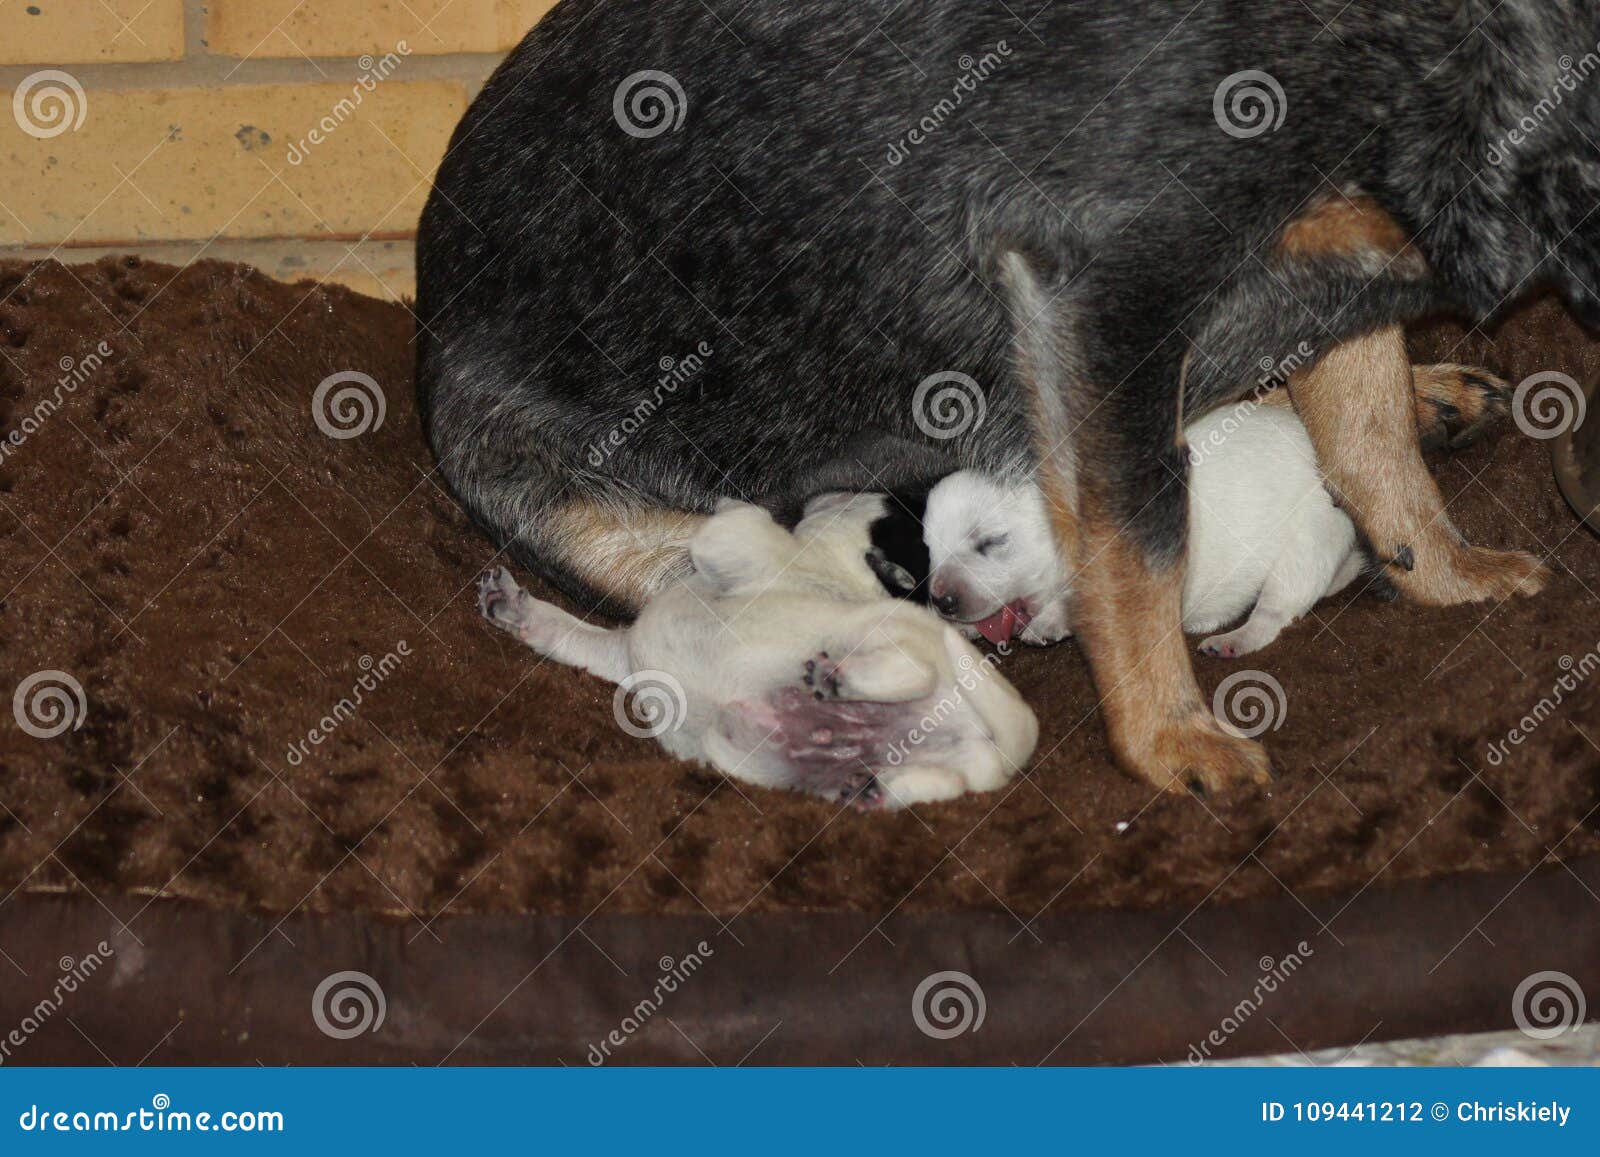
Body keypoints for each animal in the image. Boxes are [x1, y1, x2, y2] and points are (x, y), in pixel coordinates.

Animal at [473, 499, 1036, 816]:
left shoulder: (742, 543)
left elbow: (733, 521)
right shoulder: (624, 654)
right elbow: (567, 632)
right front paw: (519, 610)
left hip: (887, 633)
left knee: (914, 669)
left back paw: (840, 680)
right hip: (951, 767)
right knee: (943, 780)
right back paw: (871, 788)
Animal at [921, 400, 1356, 656]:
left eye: (992, 541)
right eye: (928, 547)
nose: (942, 601)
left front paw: (1051, 618)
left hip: (1307, 541)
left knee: (1274, 611)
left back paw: (1232, 639)